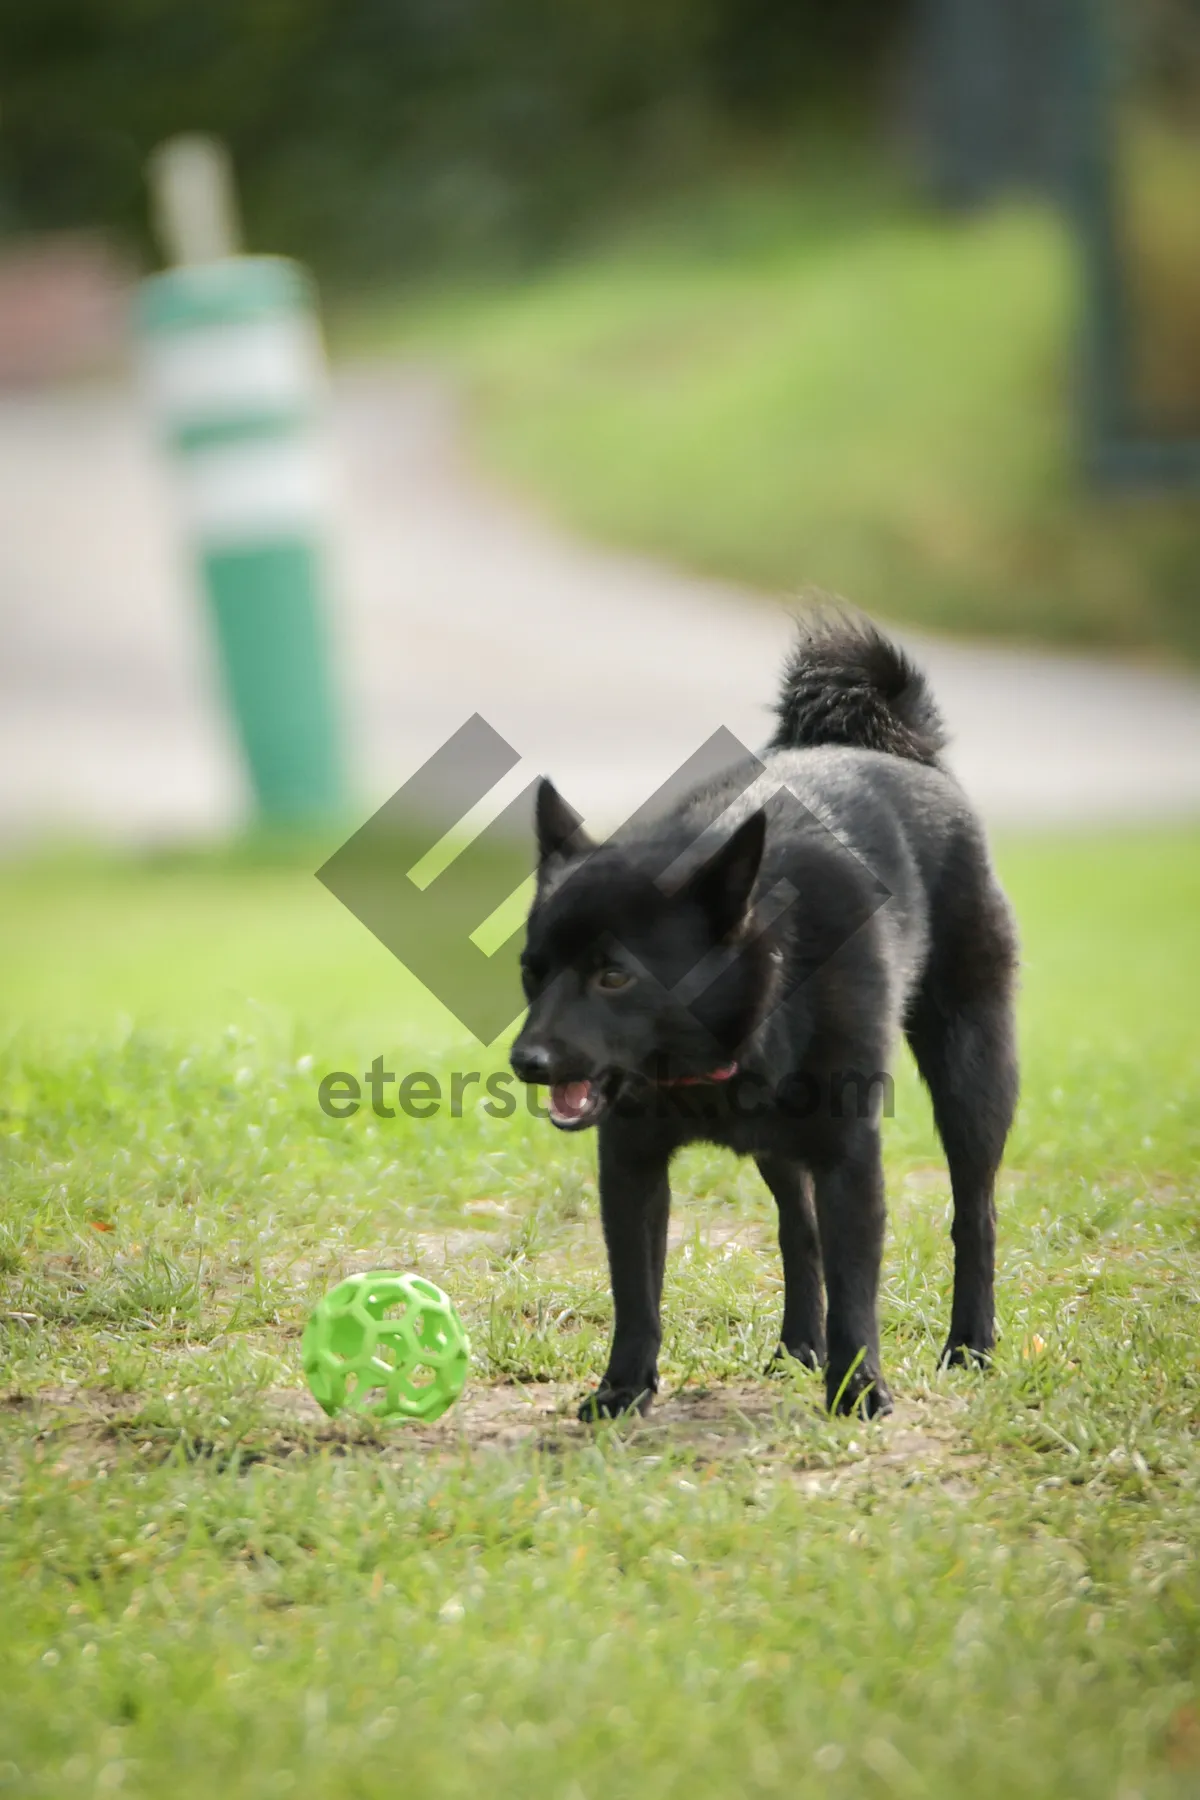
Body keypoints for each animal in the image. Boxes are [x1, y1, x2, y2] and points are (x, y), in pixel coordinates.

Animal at [510, 619, 1021, 1418]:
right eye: (532, 971)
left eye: (614, 975)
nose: (525, 1061)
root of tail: (898, 748)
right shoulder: (630, 1165)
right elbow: (636, 1291)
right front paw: (623, 1389)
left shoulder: (849, 1156)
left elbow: (856, 1285)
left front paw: (858, 1389)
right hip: (782, 1146)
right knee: (797, 1229)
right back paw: (798, 1345)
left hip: (972, 1074)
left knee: (975, 1215)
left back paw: (969, 1344)